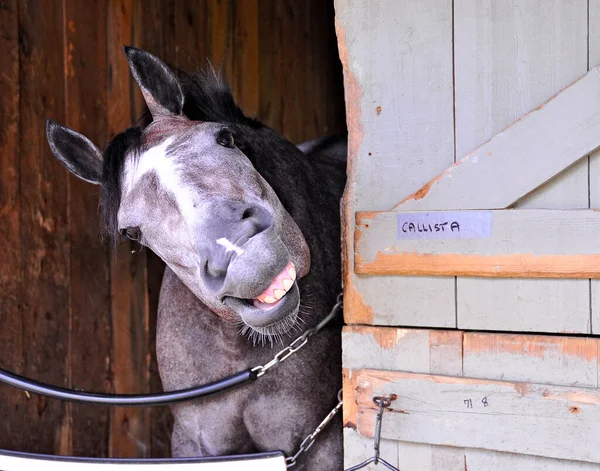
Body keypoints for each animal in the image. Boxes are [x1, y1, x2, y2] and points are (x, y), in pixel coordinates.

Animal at [45, 45, 346, 471]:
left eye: (224, 137)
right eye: (130, 232)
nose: (241, 255)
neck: (243, 353)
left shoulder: (325, 444)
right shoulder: (195, 445)